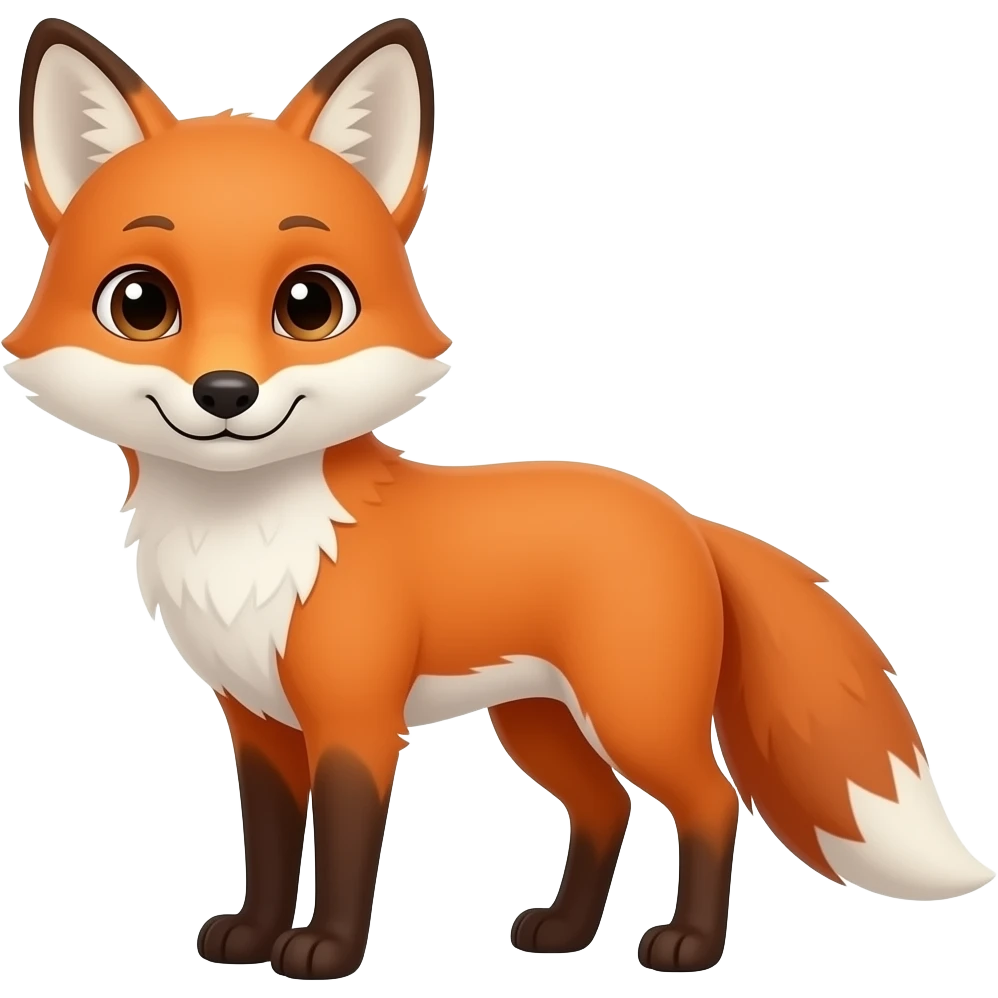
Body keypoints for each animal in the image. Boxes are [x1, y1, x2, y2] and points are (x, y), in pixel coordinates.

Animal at [7, 14, 994, 982]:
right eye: (141, 303)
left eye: (309, 304)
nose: (224, 393)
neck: (246, 547)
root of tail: (686, 517)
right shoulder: (257, 721)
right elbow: (272, 844)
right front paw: (252, 937)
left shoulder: (357, 719)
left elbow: (347, 843)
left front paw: (326, 952)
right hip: (539, 722)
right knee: (605, 809)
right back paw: (563, 932)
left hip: (631, 714)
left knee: (712, 803)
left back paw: (688, 947)